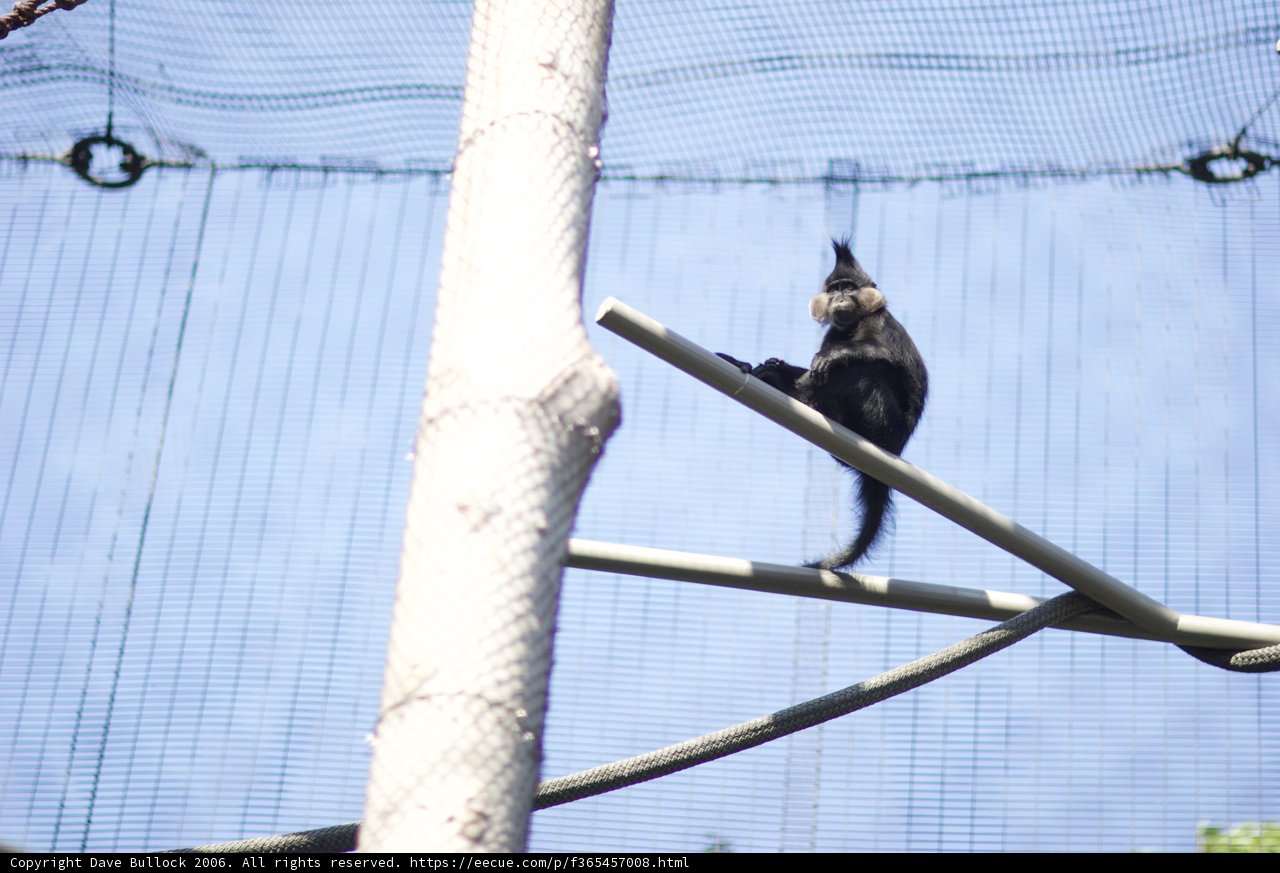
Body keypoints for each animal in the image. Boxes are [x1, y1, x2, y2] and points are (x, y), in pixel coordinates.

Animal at [718, 239, 927, 571]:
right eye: (834, 289)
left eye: (849, 288)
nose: (840, 297)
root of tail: (897, 448)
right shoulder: (833, 332)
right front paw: (762, 367)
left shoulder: (880, 321)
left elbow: (886, 357)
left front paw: (830, 358)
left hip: (886, 426)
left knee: (865, 373)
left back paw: (801, 393)